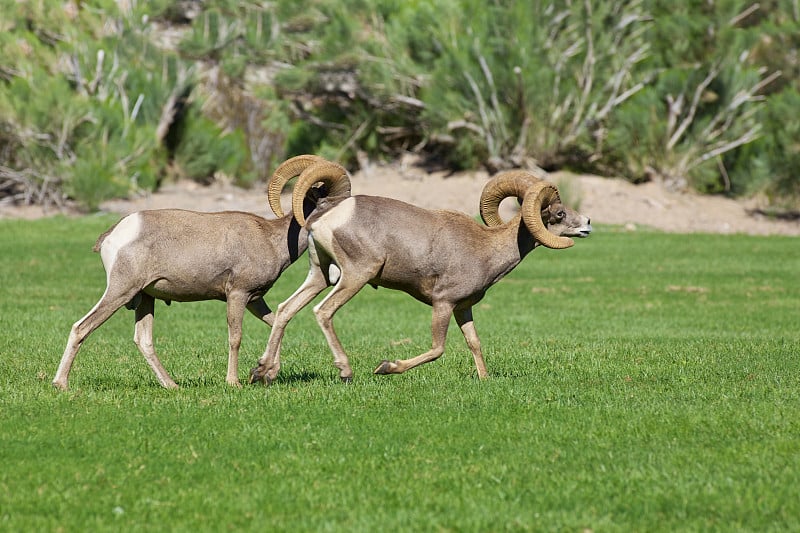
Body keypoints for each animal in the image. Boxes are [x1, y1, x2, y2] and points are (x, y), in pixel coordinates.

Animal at [51, 156, 348, 388]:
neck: (272, 239)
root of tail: (114, 234)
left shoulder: (255, 299)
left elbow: (276, 322)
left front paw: (266, 373)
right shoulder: (237, 295)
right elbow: (235, 337)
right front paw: (234, 382)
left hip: (145, 298)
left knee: (143, 341)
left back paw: (172, 386)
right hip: (120, 291)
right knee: (81, 327)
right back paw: (61, 384)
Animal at [250, 162, 592, 382]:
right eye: (559, 214)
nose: (588, 224)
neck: (485, 248)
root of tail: (328, 216)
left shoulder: (463, 308)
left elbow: (474, 343)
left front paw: (484, 380)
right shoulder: (443, 304)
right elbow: (438, 348)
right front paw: (386, 367)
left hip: (319, 274)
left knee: (285, 309)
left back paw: (262, 371)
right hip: (355, 276)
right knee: (323, 312)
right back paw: (346, 371)